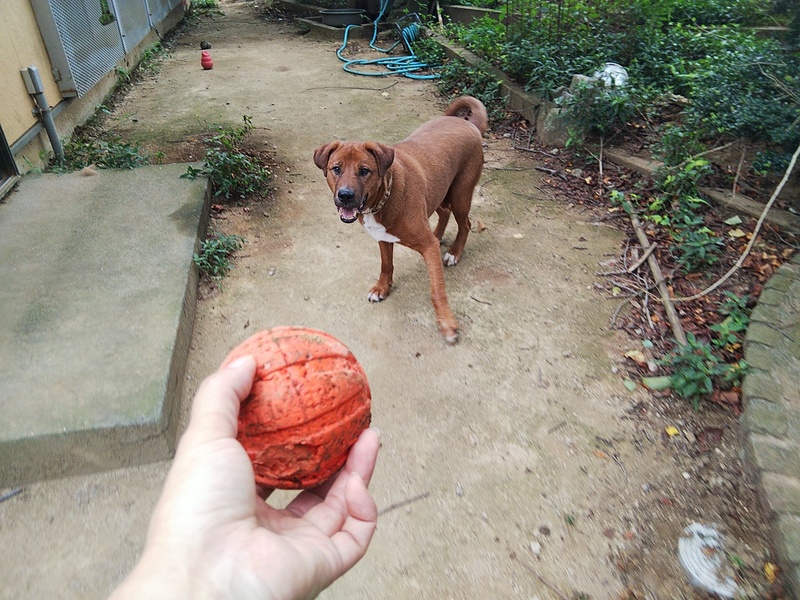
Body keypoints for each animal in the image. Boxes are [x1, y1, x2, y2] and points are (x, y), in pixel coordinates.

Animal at [313, 96, 487, 344]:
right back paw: (438, 235)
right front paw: (382, 288)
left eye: (364, 170)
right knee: (444, 213)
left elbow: (436, 290)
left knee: (465, 224)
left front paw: (446, 322)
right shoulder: (383, 238)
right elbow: (386, 265)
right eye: (336, 168)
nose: (345, 196)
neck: (384, 197)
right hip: (438, 190)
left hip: (460, 195)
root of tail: (468, 124)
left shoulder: (427, 248)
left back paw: (454, 252)